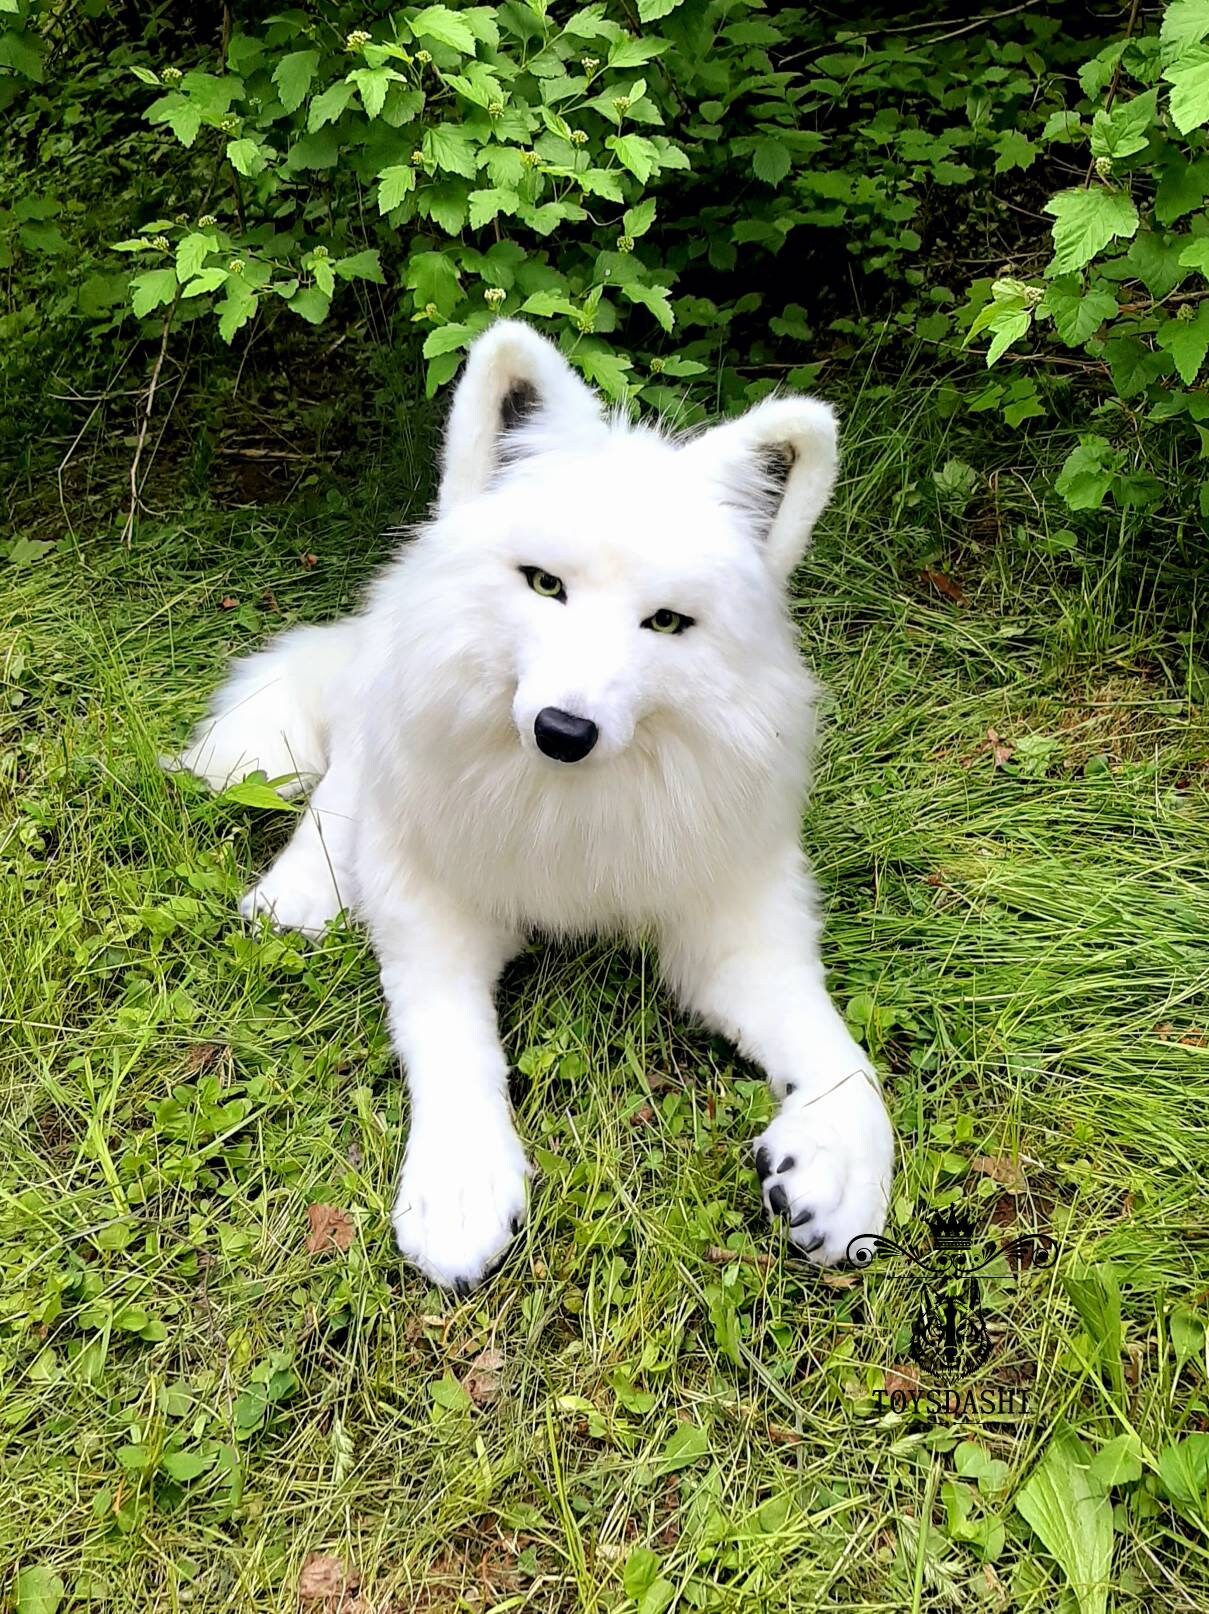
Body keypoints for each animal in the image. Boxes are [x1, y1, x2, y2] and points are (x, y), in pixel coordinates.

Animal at [175, 320, 894, 1292]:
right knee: (345, 783)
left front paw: (842, 1169)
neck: (567, 806)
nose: (563, 731)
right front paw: (460, 1188)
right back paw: (297, 896)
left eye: (665, 624)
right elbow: (452, 1048)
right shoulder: (433, 915)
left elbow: (844, 1059)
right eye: (544, 585)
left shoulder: (736, 932)